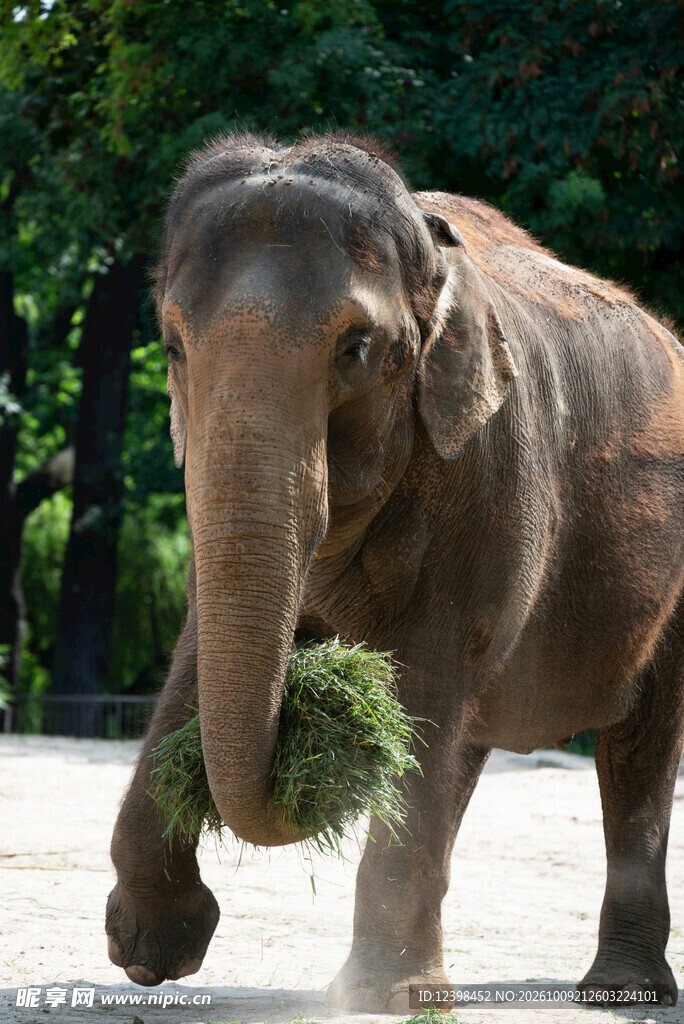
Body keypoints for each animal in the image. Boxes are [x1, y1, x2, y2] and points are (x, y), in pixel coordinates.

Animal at [106, 132, 684, 1011]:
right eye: (172, 346)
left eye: (356, 351)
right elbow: (198, 649)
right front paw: (150, 950)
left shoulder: (493, 475)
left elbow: (431, 670)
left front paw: (390, 997)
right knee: (466, 744)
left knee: (637, 747)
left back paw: (621, 992)